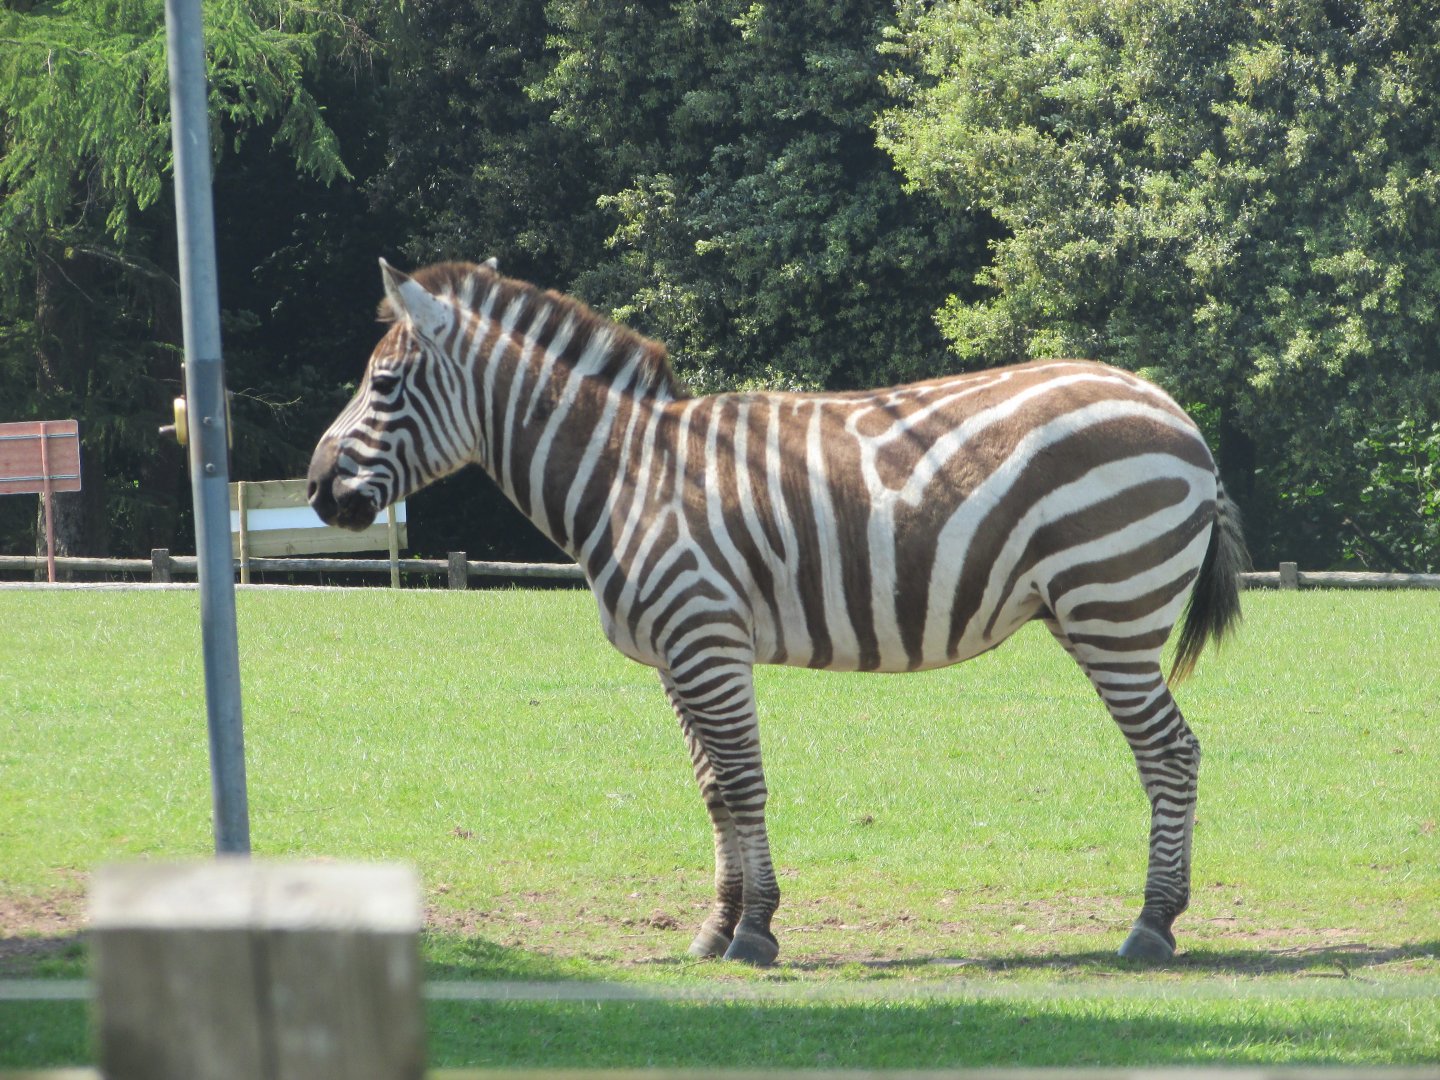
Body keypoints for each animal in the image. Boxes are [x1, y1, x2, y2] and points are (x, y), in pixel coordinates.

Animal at [308, 258, 1248, 966]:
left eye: (382, 383)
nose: (316, 491)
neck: (626, 475)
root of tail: (1177, 414)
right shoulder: (678, 655)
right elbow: (713, 791)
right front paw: (716, 927)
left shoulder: (705, 637)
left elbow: (742, 783)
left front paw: (755, 930)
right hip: (1091, 613)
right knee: (1171, 752)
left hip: (1112, 610)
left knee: (1171, 754)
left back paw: (1152, 926)